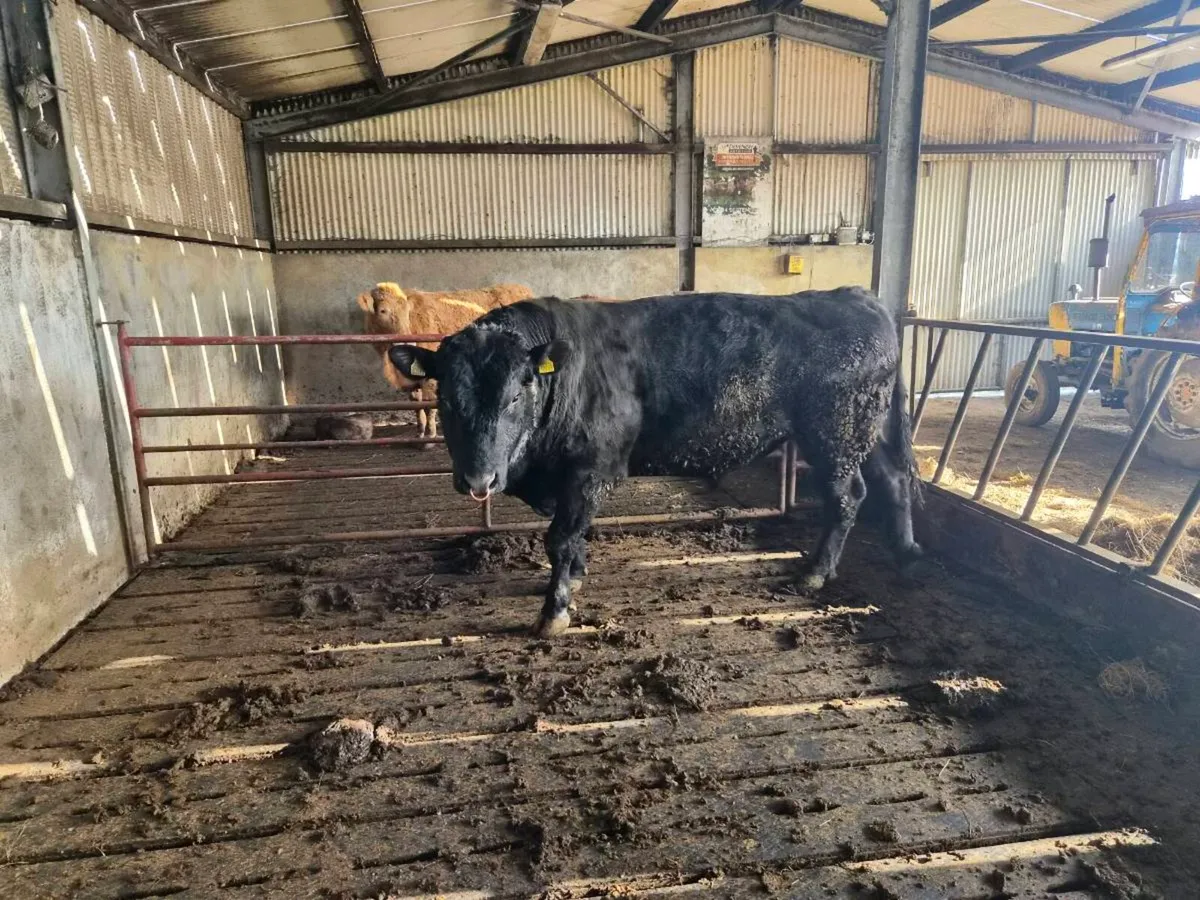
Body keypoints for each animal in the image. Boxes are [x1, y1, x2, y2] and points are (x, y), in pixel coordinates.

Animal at [356, 281, 535, 442]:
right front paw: (420, 432)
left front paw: (430, 436)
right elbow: (415, 403)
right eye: (382, 311)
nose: (407, 341)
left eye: (406, 312)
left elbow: (428, 404)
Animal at [388, 287, 921, 638]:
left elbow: (560, 537)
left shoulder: (591, 469)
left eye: (516, 395)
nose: (479, 478)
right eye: (446, 399)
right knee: (892, 480)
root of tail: (854, 295)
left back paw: (814, 571)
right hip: (864, 432)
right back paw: (905, 549)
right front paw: (575, 575)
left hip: (835, 434)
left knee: (846, 497)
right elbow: (573, 535)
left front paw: (554, 611)